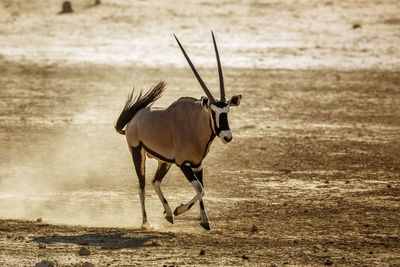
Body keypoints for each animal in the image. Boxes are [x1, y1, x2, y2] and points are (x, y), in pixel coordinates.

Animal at [114, 33, 242, 230]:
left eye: (227, 111)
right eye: (213, 111)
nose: (227, 136)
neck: (196, 125)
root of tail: (133, 120)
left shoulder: (197, 164)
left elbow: (202, 189)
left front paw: (183, 212)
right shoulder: (183, 163)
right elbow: (199, 188)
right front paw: (199, 218)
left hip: (164, 161)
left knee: (155, 181)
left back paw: (168, 213)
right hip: (137, 152)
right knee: (142, 185)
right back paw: (146, 222)